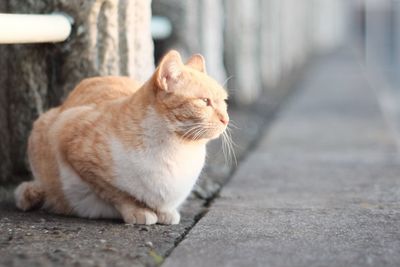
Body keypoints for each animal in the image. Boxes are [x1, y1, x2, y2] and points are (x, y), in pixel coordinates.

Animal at [14, 50, 230, 226]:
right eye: (205, 101)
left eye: (224, 101)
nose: (226, 119)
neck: (177, 150)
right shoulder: (71, 141)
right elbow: (117, 194)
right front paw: (138, 210)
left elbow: (162, 204)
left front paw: (166, 213)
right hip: (43, 126)